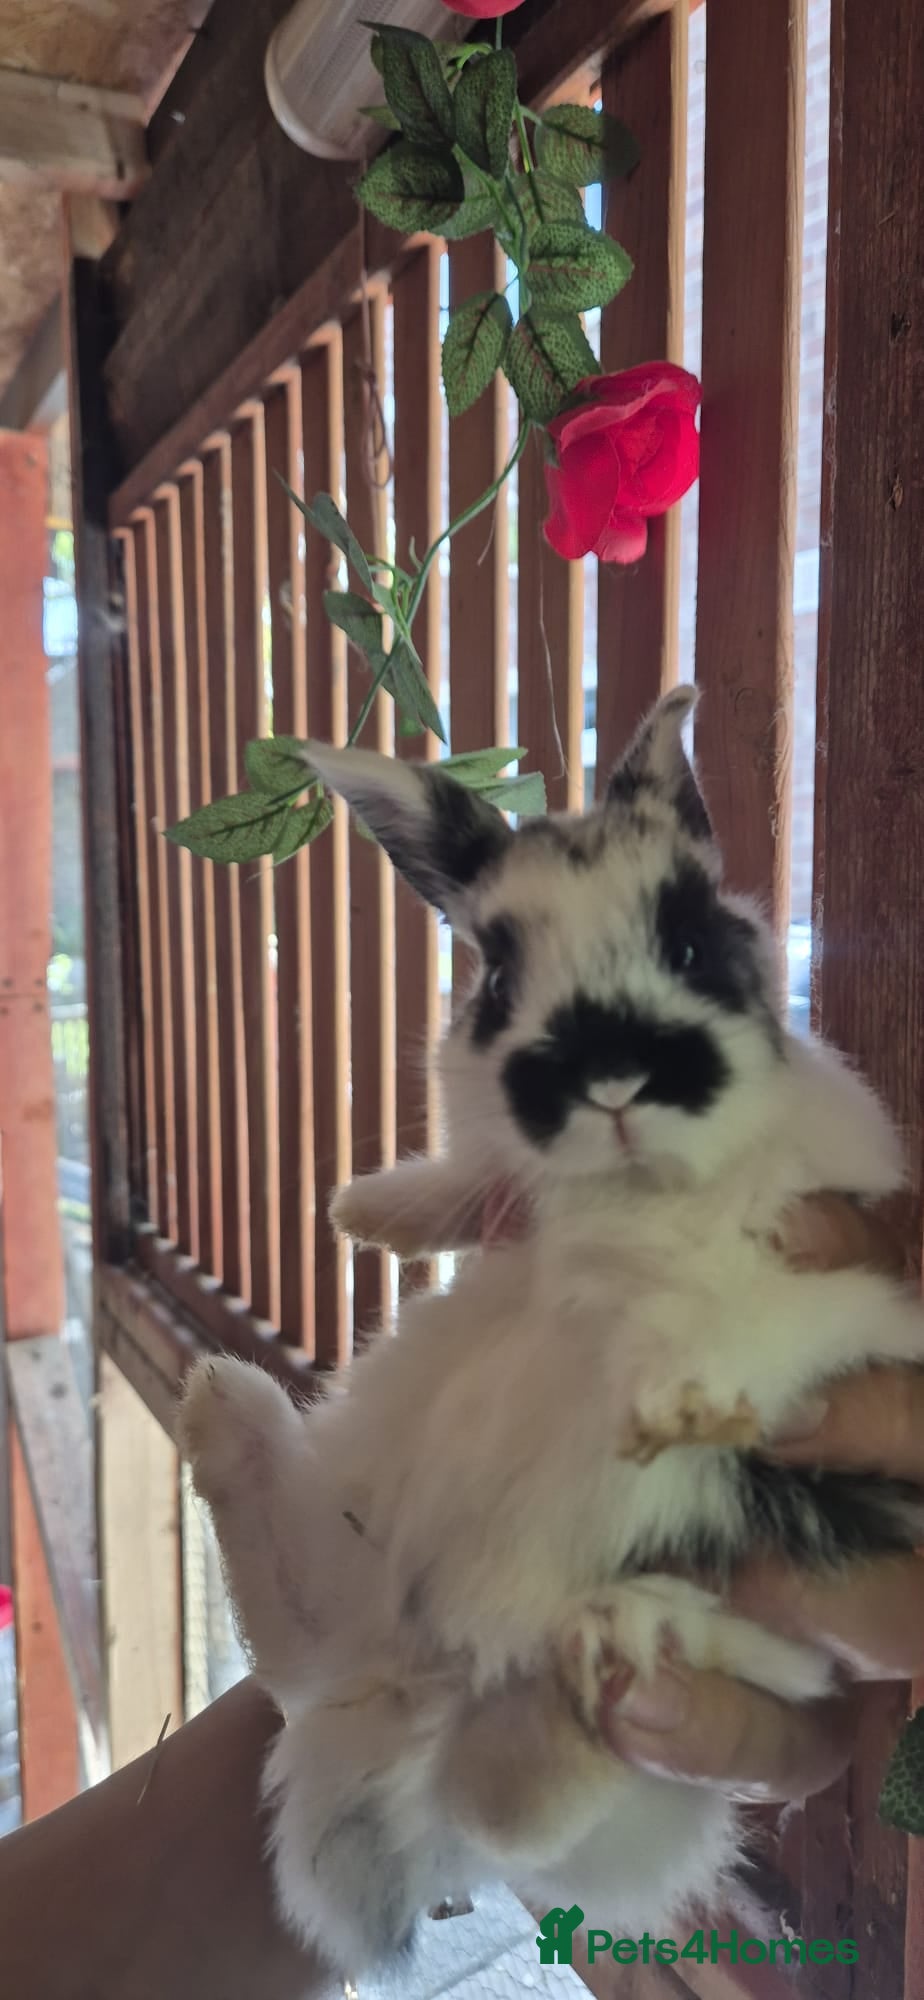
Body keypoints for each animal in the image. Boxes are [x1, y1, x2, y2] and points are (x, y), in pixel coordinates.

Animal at [179, 687, 924, 1979]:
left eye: (691, 940)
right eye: (495, 974)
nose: (613, 1077)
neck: (632, 1193)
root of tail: (424, 1686)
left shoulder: (840, 1256)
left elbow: (752, 1305)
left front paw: (678, 1385)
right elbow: (480, 1174)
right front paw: (370, 1209)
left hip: (739, 1594)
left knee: (521, 1796)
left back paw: (590, 1677)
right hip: (364, 1524)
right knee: (330, 1660)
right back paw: (225, 1411)